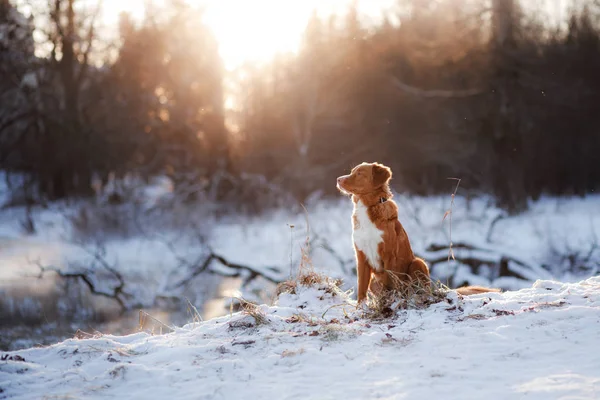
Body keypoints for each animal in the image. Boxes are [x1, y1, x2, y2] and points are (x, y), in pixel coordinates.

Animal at [338, 162, 502, 304]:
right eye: (352, 171)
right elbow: (361, 286)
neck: (368, 207)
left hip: (418, 263)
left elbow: (388, 283)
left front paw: (388, 303)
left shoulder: (389, 254)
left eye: (359, 173)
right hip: (375, 280)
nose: (338, 179)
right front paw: (361, 308)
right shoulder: (361, 256)